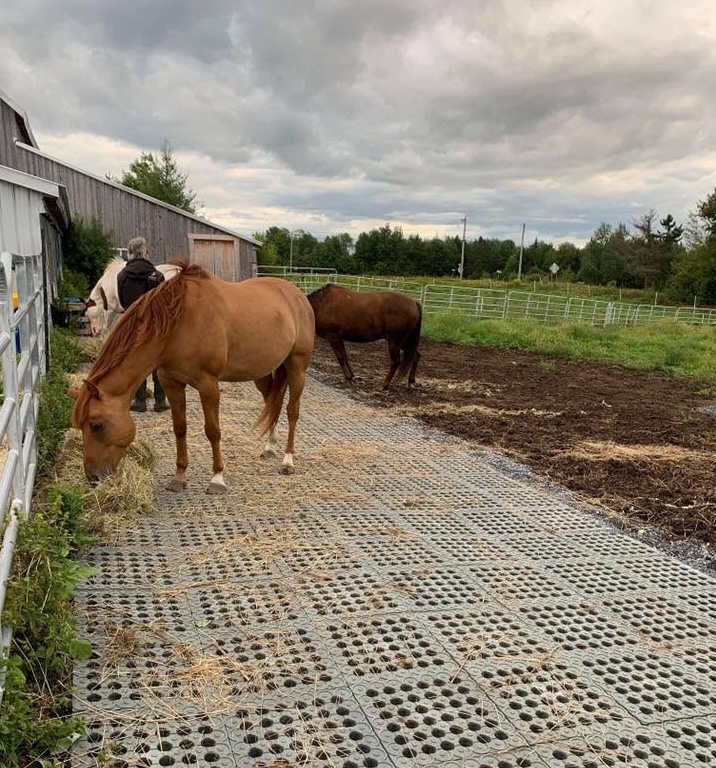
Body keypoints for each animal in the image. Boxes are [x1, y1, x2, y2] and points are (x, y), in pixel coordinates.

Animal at [70, 263, 315, 494]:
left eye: (96, 424)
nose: (93, 477)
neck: (178, 324)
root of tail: (296, 293)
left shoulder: (208, 385)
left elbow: (213, 430)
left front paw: (217, 478)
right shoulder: (171, 383)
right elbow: (180, 428)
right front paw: (179, 477)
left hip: (297, 367)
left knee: (292, 411)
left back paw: (287, 460)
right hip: (262, 372)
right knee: (272, 403)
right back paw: (269, 447)